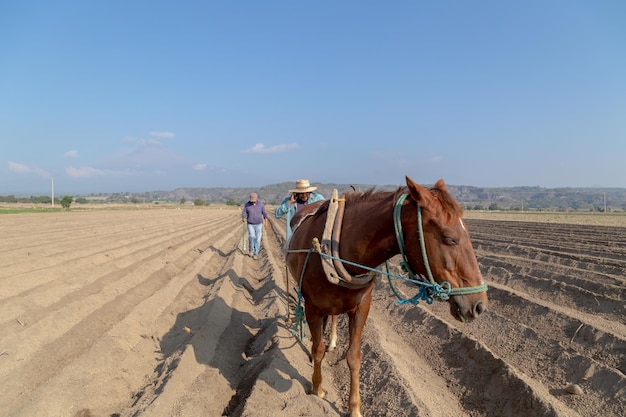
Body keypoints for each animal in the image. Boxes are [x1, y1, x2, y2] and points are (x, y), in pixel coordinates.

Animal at [286, 175, 486, 416]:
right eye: (450, 238)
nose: (479, 305)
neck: (339, 247)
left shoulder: (362, 307)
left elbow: (354, 357)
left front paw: (355, 407)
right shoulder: (312, 308)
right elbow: (317, 350)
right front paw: (317, 390)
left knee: (333, 318)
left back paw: (332, 340)